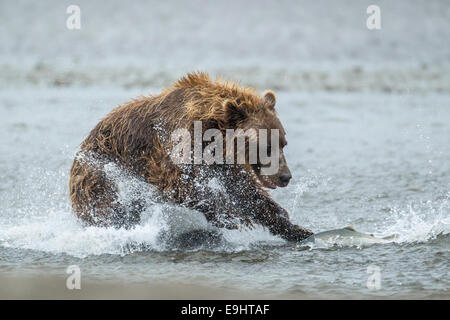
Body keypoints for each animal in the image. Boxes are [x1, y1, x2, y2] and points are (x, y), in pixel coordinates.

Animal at [69, 72, 312, 241]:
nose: (285, 176)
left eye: (283, 143)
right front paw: (232, 217)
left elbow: (245, 191)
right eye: (265, 146)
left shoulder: (223, 163)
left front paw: (297, 228)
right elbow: (181, 183)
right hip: (99, 176)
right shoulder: (174, 144)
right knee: (106, 208)